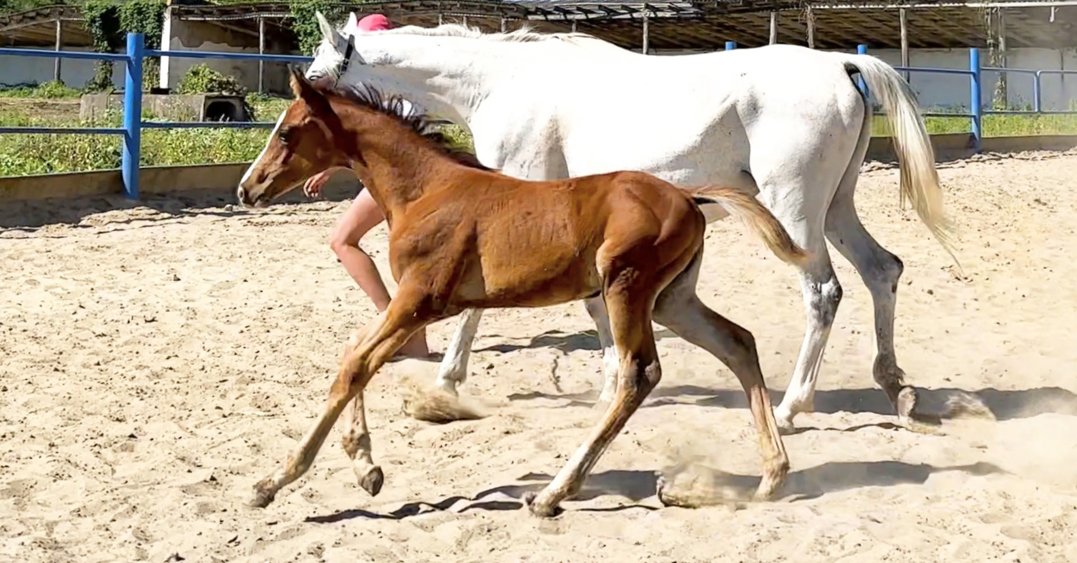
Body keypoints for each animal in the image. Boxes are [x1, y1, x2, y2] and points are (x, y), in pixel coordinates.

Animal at [238, 68, 809, 518]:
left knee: (639, 373)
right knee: (737, 342)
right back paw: (768, 479)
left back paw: (553, 493)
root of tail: (689, 197)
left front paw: (272, 483)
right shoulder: (417, 303)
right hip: (672, 299)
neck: (426, 191)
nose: (248, 189)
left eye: (286, 133)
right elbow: (351, 352)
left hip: (626, 286)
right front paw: (365, 467)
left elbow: (357, 365)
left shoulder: (421, 299)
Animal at [303, 12, 960, 432]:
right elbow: (595, 307)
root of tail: (842, 64)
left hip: (796, 211)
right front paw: (609, 381)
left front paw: (445, 386)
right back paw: (897, 388)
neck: (501, 85)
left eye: (313, 79)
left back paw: (793, 408)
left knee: (824, 293)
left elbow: (477, 307)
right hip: (836, 208)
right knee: (882, 270)